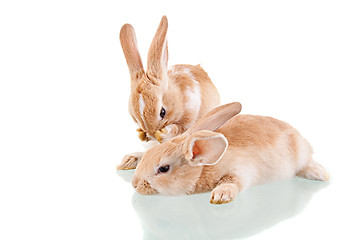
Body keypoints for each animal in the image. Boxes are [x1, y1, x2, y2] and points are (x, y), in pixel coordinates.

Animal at [118, 15, 219, 170]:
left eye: (162, 112)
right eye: (136, 118)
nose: (152, 134)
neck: (178, 97)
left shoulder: (189, 122)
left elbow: (177, 130)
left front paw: (164, 134)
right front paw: (141, 135)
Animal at [131, 101, 330, 204]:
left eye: (163, 169)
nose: (134, 184)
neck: (205, 166)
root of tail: (297, 133)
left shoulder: (241, 170)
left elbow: (233, 182)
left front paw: (220, 195)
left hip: (301, 155)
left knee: (308, 163)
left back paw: (321, 174)